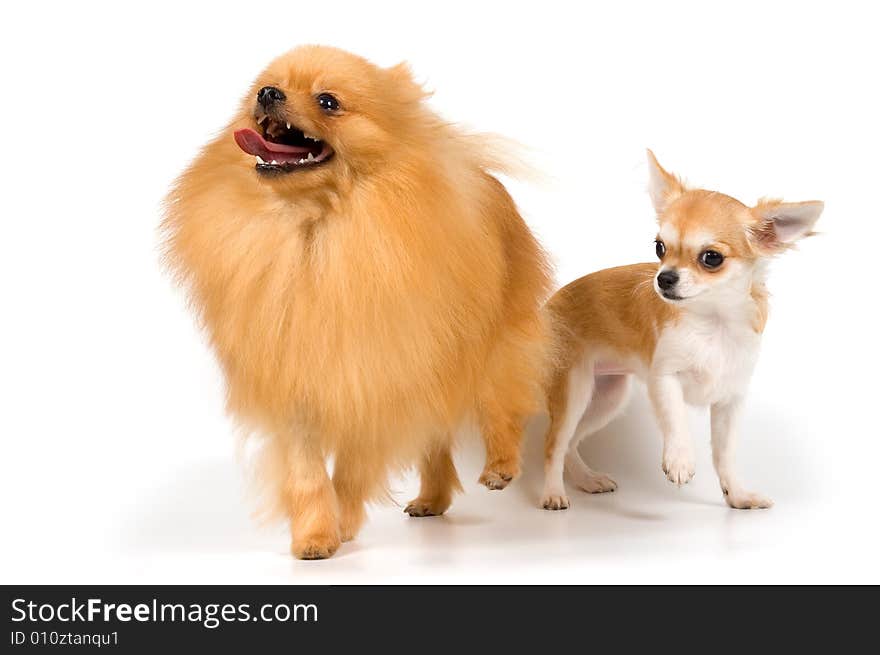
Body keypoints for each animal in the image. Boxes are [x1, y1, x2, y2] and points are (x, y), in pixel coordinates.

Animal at [160, 44, 552, 560]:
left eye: (328, 101)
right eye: (261, 88)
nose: (268, 94)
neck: (315, 232)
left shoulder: (372, 378)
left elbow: (350, 470)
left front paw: (342, 523)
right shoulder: (298, 388)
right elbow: (308, 473)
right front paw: (313, 535)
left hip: (490, 341)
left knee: (499, 399)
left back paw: (500, 465)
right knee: (436, 436)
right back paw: (432, 499)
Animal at [540, 152, 820, 512]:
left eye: (711, 258)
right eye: (660, 248)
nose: (664, 278)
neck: (712, 322)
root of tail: (548, 307)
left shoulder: (730, 399)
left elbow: (725, 454)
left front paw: (738, 495)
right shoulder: (664, 378)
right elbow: (677, 420)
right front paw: (680, 460)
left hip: (607, 396)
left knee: (571, 443)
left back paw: (587, 480)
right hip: (574, 390)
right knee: (553, 444)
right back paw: (552, 493)